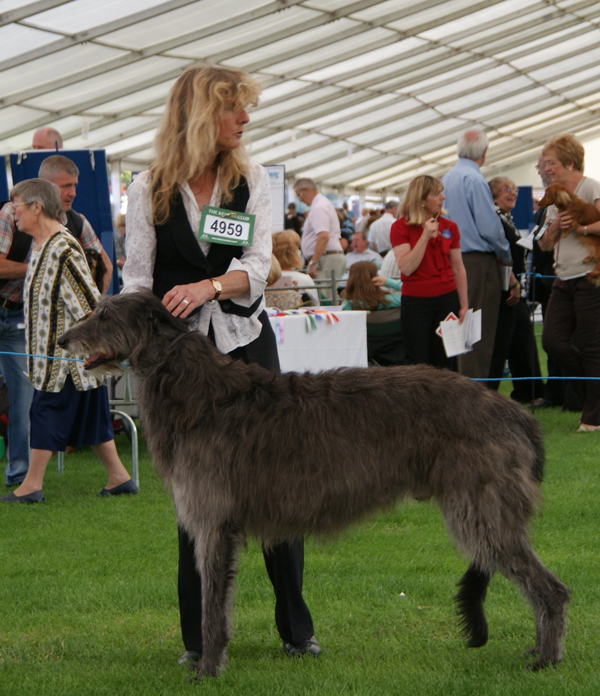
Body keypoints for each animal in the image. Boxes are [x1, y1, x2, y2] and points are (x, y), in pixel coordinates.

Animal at [58, 290, 568, 676]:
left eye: (105, 315)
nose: (63, 337)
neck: (192, 389)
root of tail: (513, 412)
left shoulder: (213, 522)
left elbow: (211, 606)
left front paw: (208, 668)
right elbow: (218, 602)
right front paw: (210, 660)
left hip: (481, 508)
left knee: (551, 588)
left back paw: (546, 658)